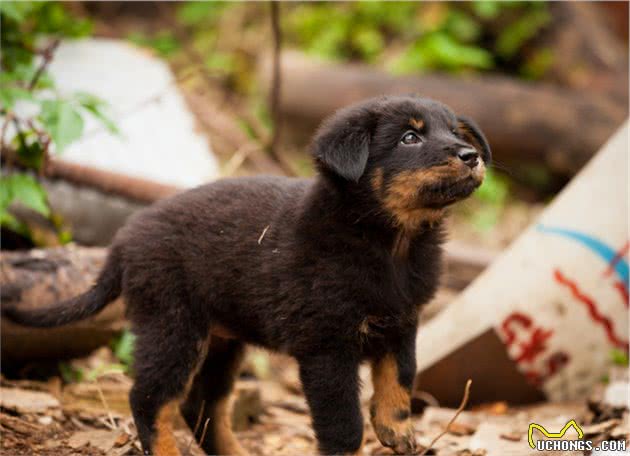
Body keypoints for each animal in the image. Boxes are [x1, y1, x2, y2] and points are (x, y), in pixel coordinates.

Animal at [2, 94, 492, 454]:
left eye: (454, 131)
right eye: (410, 137)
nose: (471, 155)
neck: (391, 243)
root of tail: (123, 240)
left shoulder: (402, 320)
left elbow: (401, 377)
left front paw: (396, 429)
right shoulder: (326, 346)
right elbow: (343, 425)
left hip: (222, 340)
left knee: (200, 407)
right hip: (173, 326)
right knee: (150, 399)